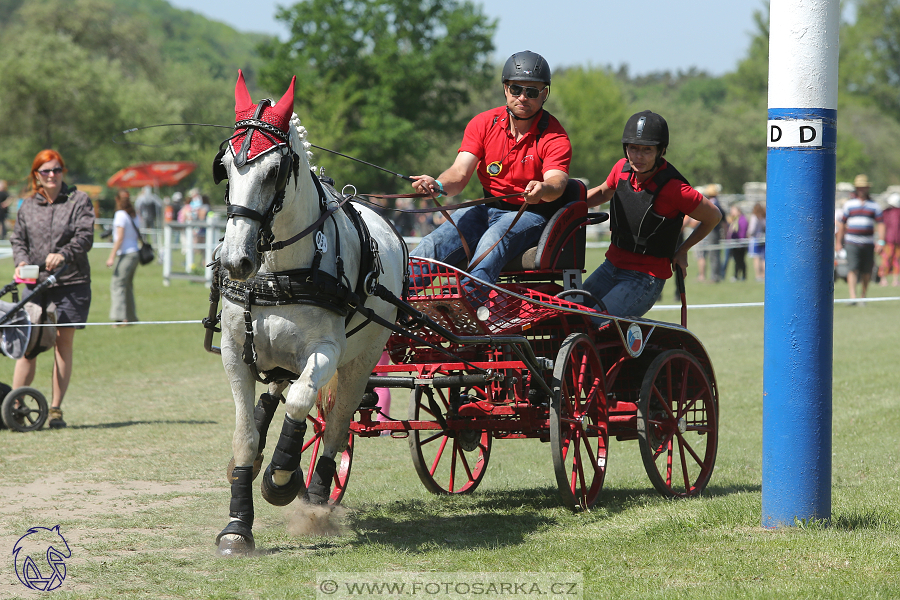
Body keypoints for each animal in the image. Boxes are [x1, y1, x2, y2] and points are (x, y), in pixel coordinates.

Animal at [211, 70, 406, 556]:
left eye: (274, 171)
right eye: (225, 167)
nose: (236, 261)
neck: (280, 269)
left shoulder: (327, 351)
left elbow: (303, 402)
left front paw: (282, 478)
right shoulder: (235, 352)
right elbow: (245, 437)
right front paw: (237, 525)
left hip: (360, 360)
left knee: (335, 424)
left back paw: (316, 496)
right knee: (274, 394)